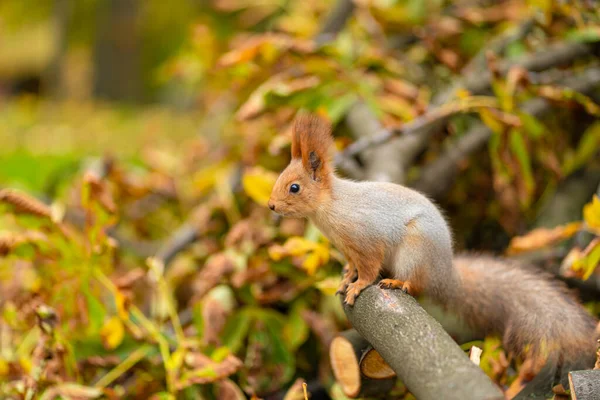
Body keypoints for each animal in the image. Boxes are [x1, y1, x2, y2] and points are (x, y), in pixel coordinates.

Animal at [270, 113, 596, 372]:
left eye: (294, 187)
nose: (271, 206)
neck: (331, 208)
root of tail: (444, 274)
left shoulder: (366, 239)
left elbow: (369, 267)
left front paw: (358, 285)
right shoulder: (348, 248)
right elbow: (352, 264)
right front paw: (346, 277)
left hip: (415, 253)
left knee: (417, 284)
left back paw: (398, 283)